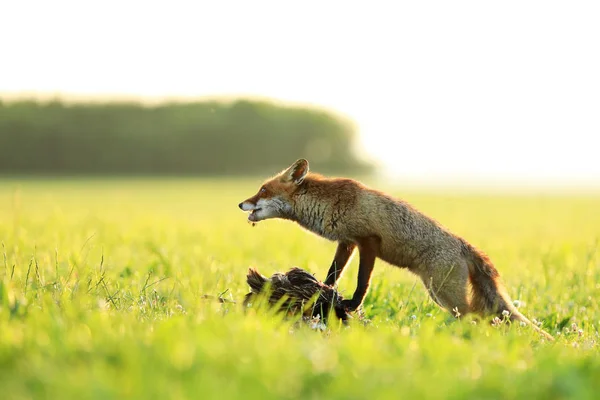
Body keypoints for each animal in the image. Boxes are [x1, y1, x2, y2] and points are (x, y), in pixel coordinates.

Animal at [238, 158, 552, 340]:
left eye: (263, 190)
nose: (241, 203)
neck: (328, 202)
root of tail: (465, 245)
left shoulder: (368, 240)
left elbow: (363, 281)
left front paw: (351, 304)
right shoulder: (347, 241)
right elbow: (334, 273)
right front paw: (324, 291)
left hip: (447, 296)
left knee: (482, 320)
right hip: (441, 295)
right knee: (489, 319)